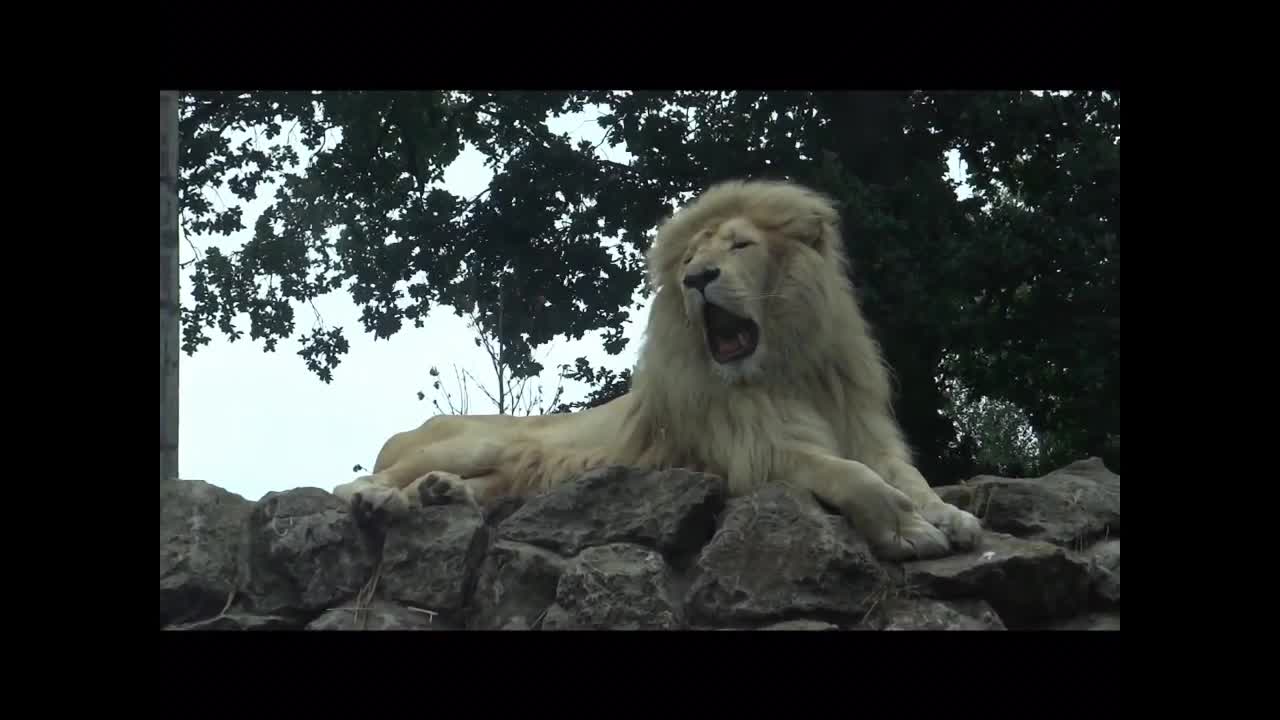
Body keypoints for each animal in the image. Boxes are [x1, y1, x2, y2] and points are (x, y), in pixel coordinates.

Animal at [335, 176, 983, 558]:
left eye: (741, 245)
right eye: (693, 256)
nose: (697, 279)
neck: (788, 367)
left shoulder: (870, 436)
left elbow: (907, 477)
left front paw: (951, 516)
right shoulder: (753, 453)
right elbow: (853, 477)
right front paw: (908, 531)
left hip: (510, 472)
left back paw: (439, 493)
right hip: (478, 442)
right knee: (356, 481)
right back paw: (382, 500)